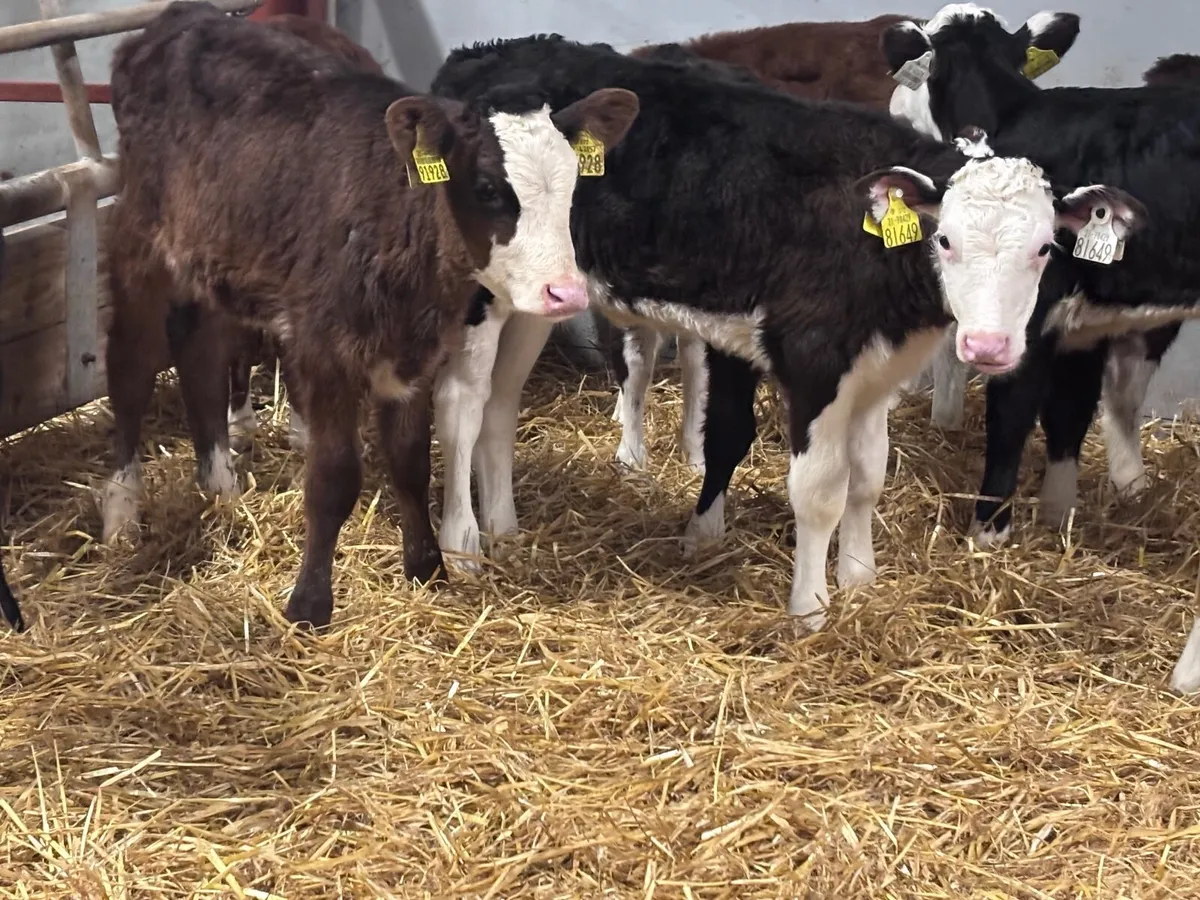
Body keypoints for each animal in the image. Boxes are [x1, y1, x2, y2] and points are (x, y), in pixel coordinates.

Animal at [99, 2, 639, 628]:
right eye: (485, 186)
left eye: (576, 182)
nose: (565, 293)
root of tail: (183, 18)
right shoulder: (325, 351)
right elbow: (335, 476)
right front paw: (309, 605)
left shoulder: (412, 354)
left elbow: (410, 460)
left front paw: (427, 569)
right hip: (139, 243)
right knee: (131, 364)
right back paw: (121, 512)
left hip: (209, 259)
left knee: (199, 351)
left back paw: (221, 485)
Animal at [429, 34, 1142, 628]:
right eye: (945, 239)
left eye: (1045, 248)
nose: (989, 347)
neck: (869, 235)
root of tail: (481, 55)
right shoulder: (814, 359)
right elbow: (821, 490)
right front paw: (811, 610)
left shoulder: (877, 368)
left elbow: (869, 475)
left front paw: (860, 579)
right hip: (479, 291)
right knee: (463, 404)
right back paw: (462, 545)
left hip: (534, 296)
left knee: (501, 404)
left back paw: (504, 529)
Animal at [884, 6, 1200, 550]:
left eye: (918, 68)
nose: (891, 108)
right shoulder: (1082, 321)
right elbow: (1069, 413)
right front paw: (1058, 515)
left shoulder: (1029, 315)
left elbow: (1011, 417)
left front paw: (988, 534)